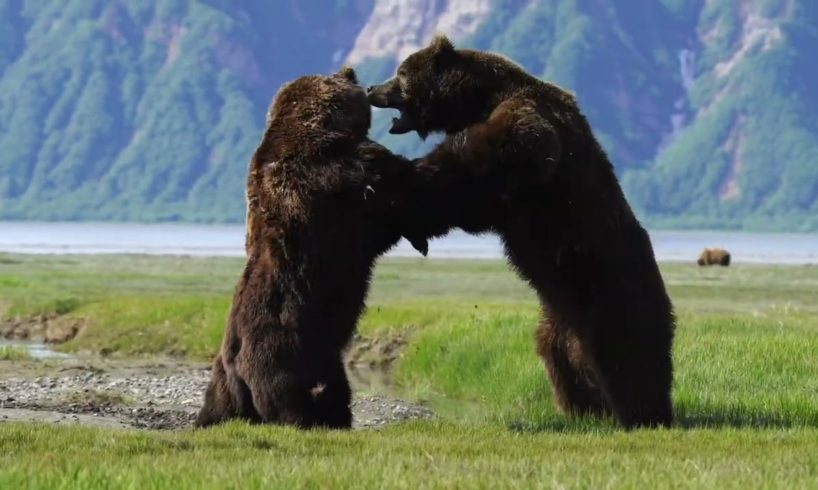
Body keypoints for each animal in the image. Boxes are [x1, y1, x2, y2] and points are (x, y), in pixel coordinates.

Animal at [370, 36, 676, 426]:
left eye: (401, 73)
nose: (371, 89)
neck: (480, 98)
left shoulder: (529, 127)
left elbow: (484, 163)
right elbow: (475, 202)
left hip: (612, 289)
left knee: (630, 357)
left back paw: (645, 414)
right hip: (558, 317)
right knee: (560, 358)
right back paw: (583, 409)